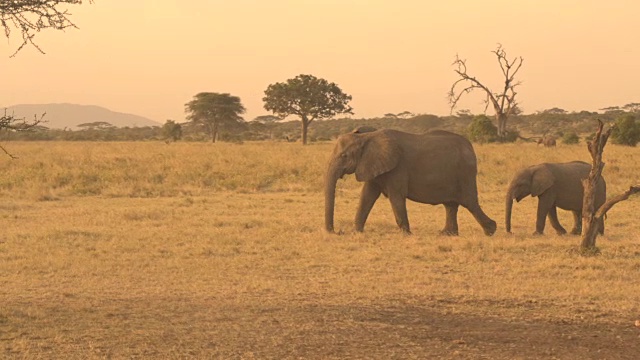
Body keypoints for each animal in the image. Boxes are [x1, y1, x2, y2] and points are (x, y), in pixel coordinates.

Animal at [322, 128, 498, 235]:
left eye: (344, 156)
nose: (338, 231)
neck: (366, 136)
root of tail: (471, 147)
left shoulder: (398, 167)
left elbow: (396, 196)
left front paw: (406, 234)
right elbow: (367, 196)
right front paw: (356, 232)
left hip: (464, 173)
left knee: (469, 202)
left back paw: (491, 230)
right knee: (451, 205)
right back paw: (447, 234)